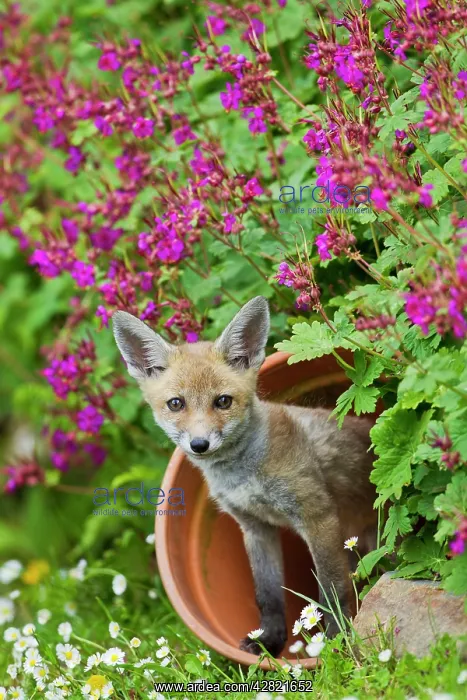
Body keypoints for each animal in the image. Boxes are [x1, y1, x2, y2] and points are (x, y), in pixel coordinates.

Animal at [112, 296, 377, 656]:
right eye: (176, 403)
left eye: (223, 401)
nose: (199, 444)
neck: (244, 477)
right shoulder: (254, 527)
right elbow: (268, 595)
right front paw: (270, 641)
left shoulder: (316, 515)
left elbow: (333, 589)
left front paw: (337, 643)